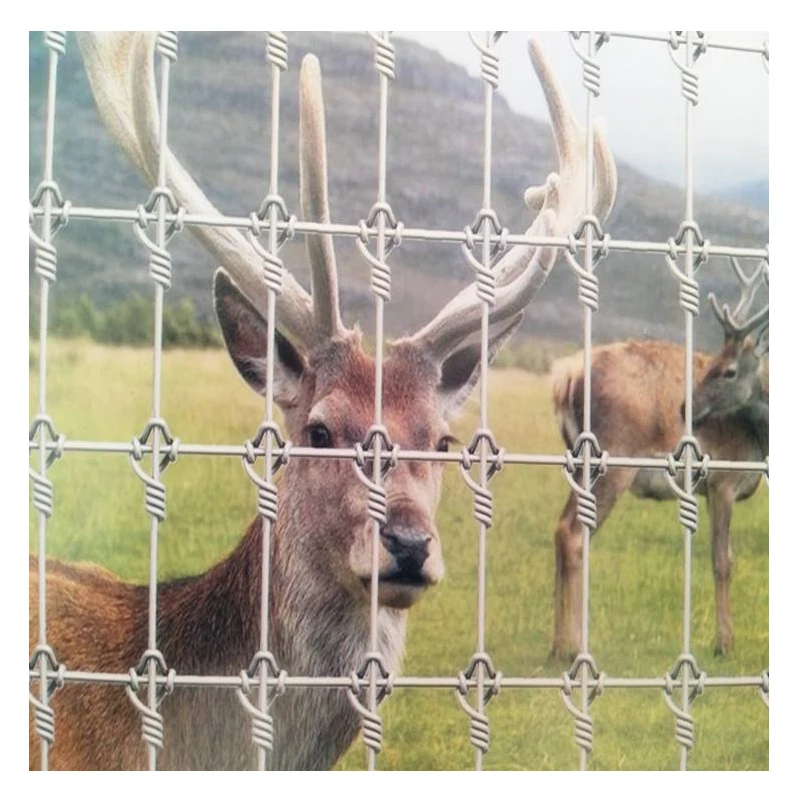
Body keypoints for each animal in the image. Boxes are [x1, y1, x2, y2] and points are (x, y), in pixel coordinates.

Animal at [550, 258, 768, 661]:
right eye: (715, 365)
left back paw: (558, 645)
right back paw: (575, 646)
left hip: (578, 463)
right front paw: (724, 643)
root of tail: (564, 378)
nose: (686, 409)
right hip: (613, 461)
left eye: (727, 369)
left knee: (561, 529)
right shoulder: (722, 481)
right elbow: (723, 560)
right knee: (573, 535)